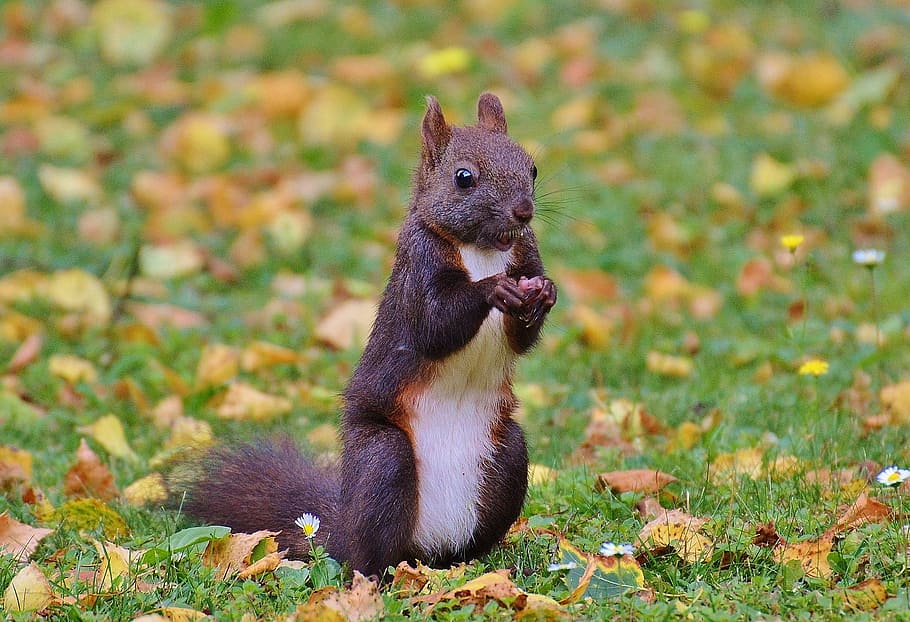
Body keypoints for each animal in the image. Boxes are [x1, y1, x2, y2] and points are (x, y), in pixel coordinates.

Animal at [182, 92, 557, 578]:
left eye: (532, 167)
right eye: (464, 178)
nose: (524, 211)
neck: (484, 250)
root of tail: (424, 550)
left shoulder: (525, 254)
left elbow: (521, 337)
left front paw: (545, 293)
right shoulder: (417, 269)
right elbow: (434, 325)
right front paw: (493, 289)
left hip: (507, 457)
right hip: (383, 460)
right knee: (369, 551)